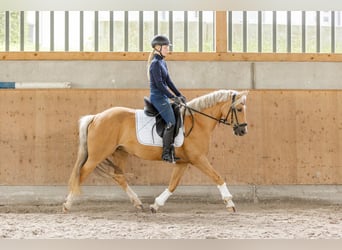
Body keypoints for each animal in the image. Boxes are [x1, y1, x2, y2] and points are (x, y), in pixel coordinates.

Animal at [62, 89, 247, 212]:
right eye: (239, 109)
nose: (242, 131)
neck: (198, 122)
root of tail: (96, 117)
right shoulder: (198, 158)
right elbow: (217, 177)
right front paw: (230, 203)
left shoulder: (183, 162)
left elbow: (173, 184)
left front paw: (156, 204)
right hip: (97, 155)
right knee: (81, 173)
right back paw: (68, 204)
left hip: (120, 152)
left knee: (119, 177)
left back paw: (137, 202)